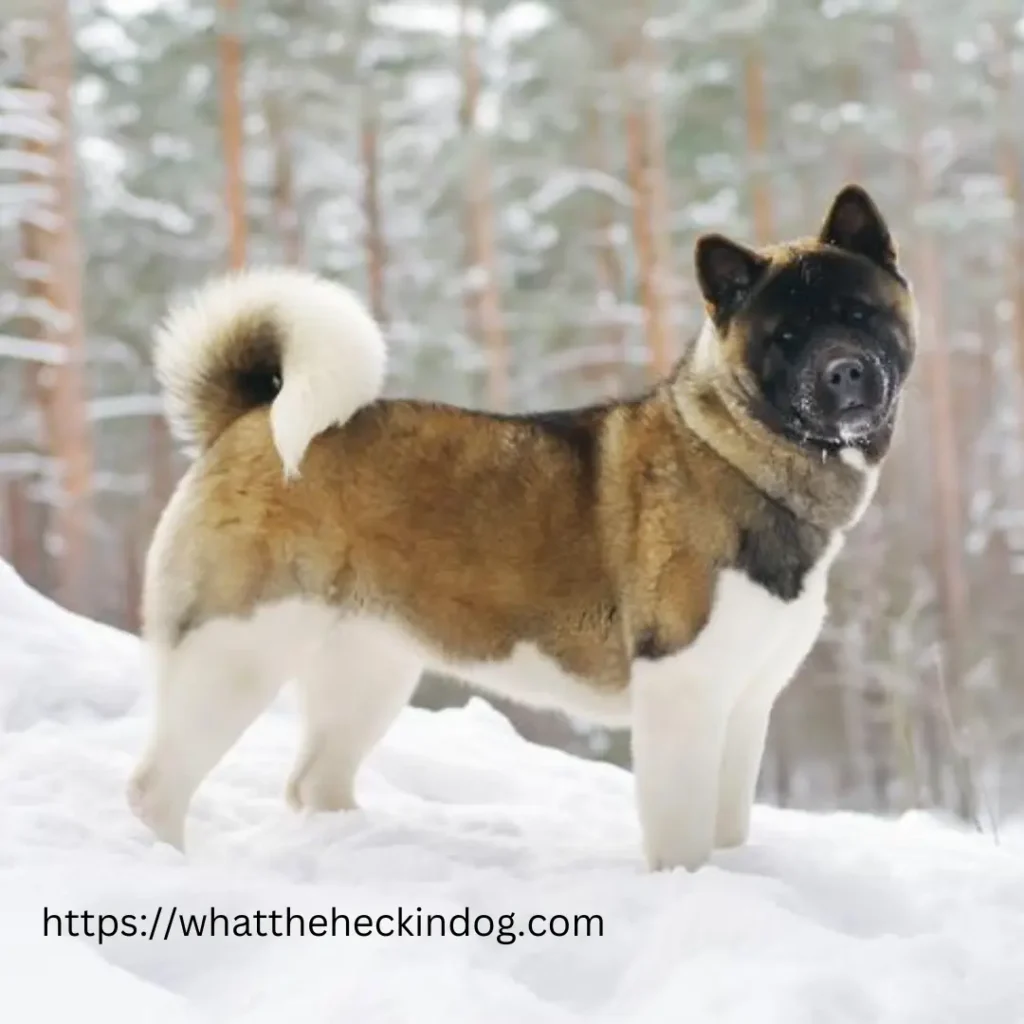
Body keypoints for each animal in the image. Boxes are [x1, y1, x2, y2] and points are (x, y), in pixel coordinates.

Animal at [123, 186, 917, 872]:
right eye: (786, 336)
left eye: (859, 314)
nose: (844, 372)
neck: (735, 453)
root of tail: (248, 417)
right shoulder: (682, 697)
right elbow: (684, 837)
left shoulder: (745, 705)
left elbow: (727, 827)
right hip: (235, 652)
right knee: (156, 789)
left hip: (366, 670)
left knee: (314, 780)